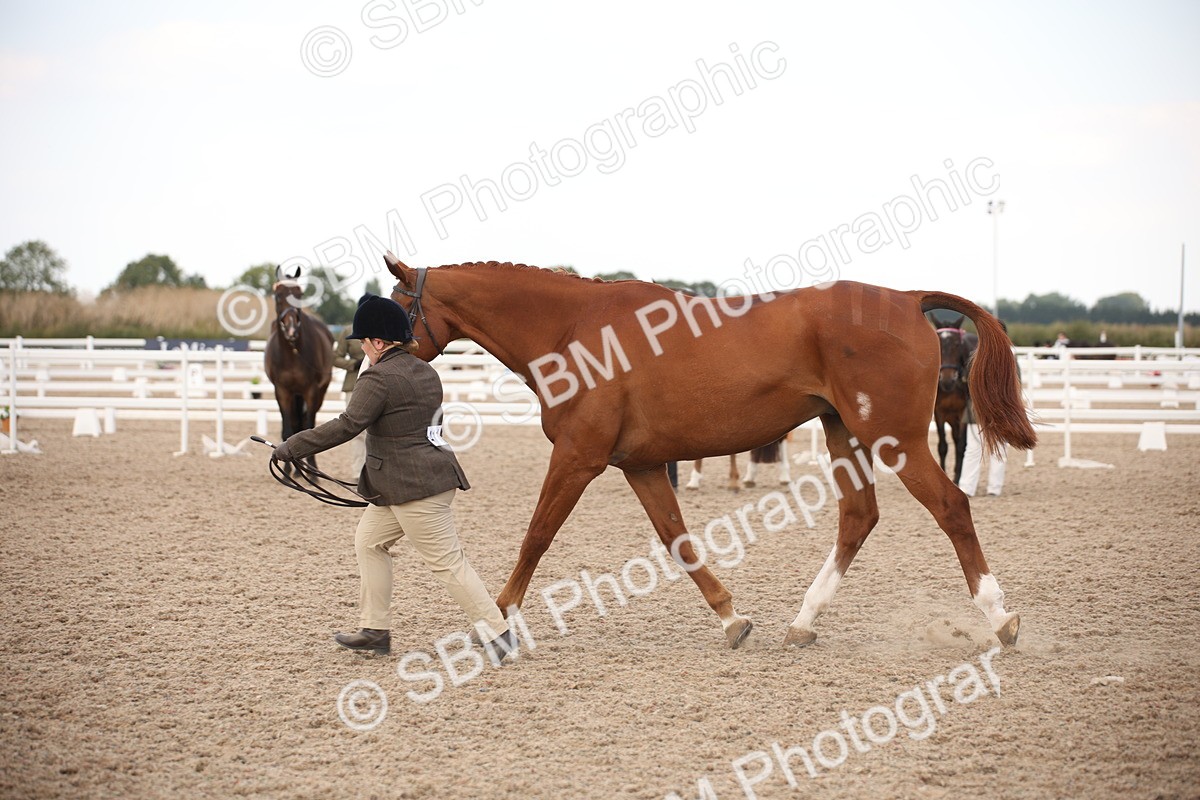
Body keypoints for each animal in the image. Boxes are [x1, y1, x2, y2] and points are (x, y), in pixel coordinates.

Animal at [264, 278, 334, 474]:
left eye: (300, 295)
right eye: (278, 296)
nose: (291, 330)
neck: (292, 353)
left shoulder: (311, 391)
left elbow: (309, 429)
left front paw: (312, 471)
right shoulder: (282, 392)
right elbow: (288, 431)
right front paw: (287, 469)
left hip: (318, 393)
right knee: (295, 424)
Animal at [928, 314, 979, 484]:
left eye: (957, 344)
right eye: (938, 343)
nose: (947, 380)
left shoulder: (963, 412)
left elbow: (961, 446)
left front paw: (957, 479)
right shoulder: (939, 412)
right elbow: (943, 446)